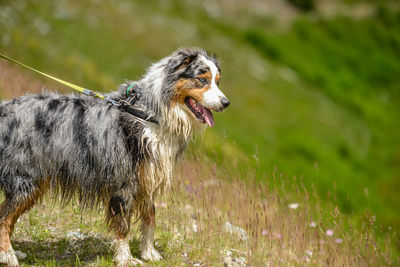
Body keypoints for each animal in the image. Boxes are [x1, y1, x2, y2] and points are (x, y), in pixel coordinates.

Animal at [0, 47, 230, 266]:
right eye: (202, 80)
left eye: (218, 81)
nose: (226, 103)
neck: (149, 115)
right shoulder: (124, 182)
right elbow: (123, 225)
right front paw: (125, 258)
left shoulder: (147, 178)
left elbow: (150, 217)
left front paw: (149, 253)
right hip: (25, 182)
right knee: (4, 218)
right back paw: (8, 256)